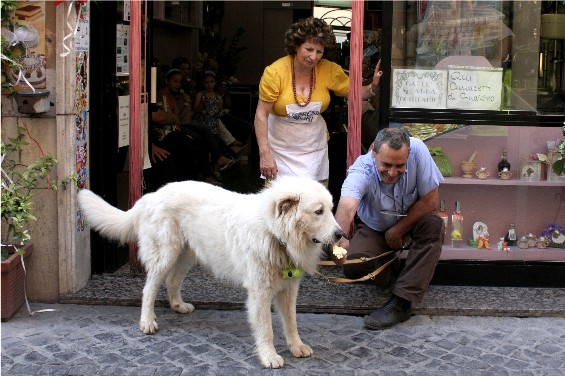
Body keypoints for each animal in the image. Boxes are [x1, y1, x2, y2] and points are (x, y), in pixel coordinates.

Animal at [76, 176, 342, 368]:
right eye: (319, 211)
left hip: (187, 255)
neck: (275, 234)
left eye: (331, 209)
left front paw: (297, 346)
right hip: (165, 254)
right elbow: (266, 328)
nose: (341, 234)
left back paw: (178, 305)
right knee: (149, 289)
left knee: (172, 281)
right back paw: (147, 322)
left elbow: (291, 322)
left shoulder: (288, 289)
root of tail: (151, 195)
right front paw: (269, 356)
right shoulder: (260, 292)